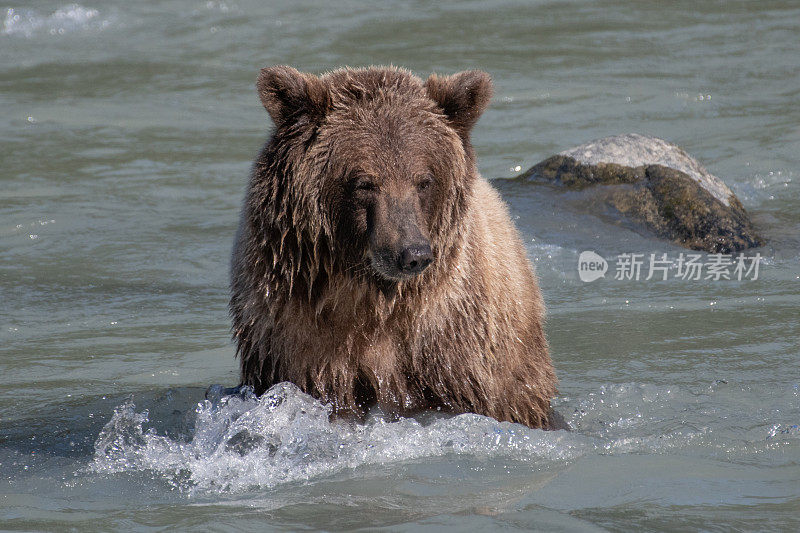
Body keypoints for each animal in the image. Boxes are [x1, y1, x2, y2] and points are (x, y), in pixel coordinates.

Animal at [228, 64, 560, 428]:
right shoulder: (290, 332)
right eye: (364, 183)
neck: (369, 297)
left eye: (424, 181)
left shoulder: (446, 343)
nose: (412, 254)